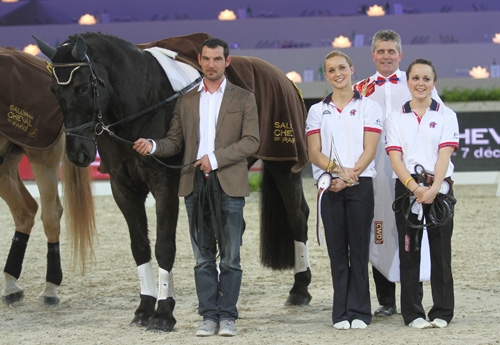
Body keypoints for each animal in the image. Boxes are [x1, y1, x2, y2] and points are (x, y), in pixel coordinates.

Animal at [34, 31, 308, 330]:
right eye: (53, 90)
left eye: (83, 88)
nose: (77, 153)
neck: (139, 102)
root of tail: (284, 78)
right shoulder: (123, 189)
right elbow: (140, 247)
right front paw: (144, 308)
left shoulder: (164, 185)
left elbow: (164, 247)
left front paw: (164, 313)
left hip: (284, 164)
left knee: (297, 215)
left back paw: (300, 289)